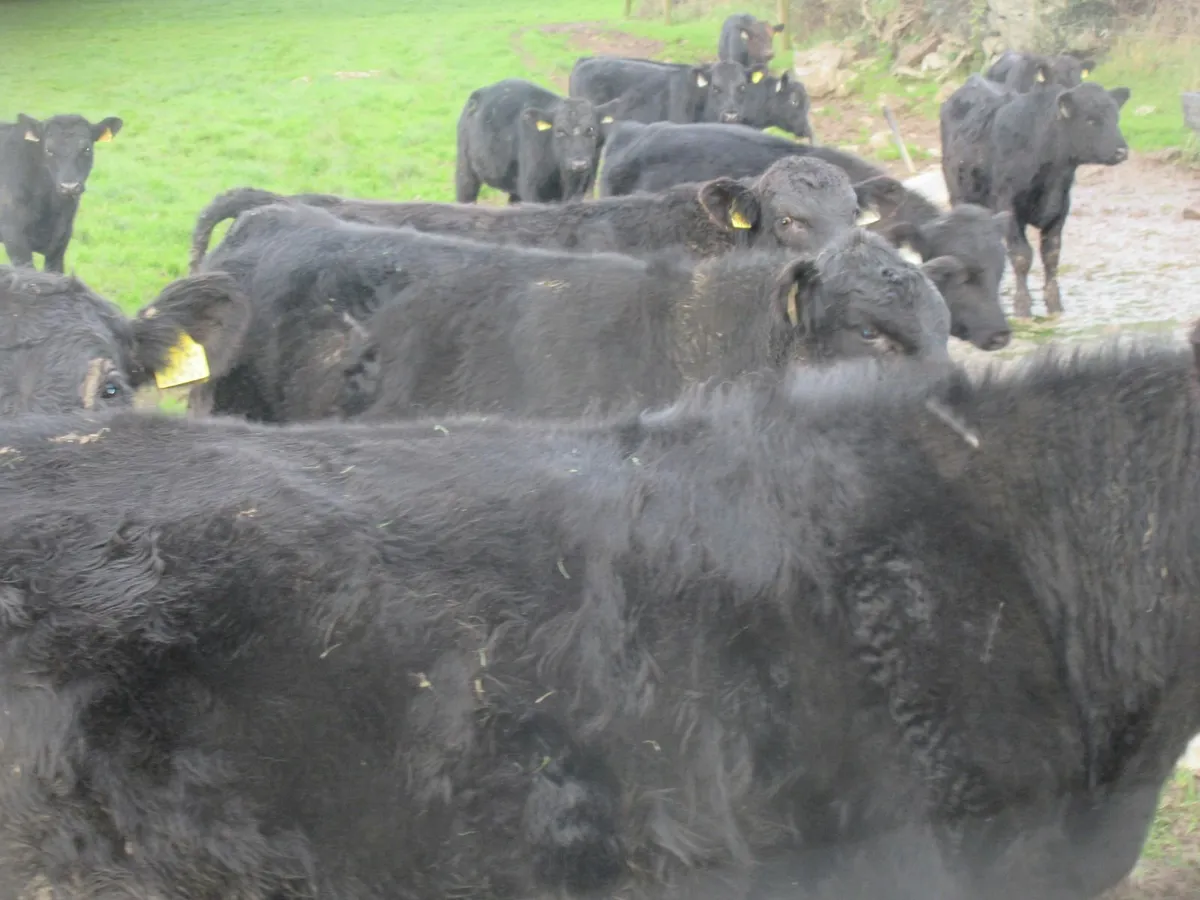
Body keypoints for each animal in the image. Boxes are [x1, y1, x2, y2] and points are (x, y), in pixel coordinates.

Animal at [941, 73, 1130, 317]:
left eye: (1116, 116)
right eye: (1091, 120)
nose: (1122, 151)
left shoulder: (1060, 208)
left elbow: (1051, 254)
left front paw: (1055, 304)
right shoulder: (1008, 206)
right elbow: (1022, 256)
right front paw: (1022, 306)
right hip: (959, 196)